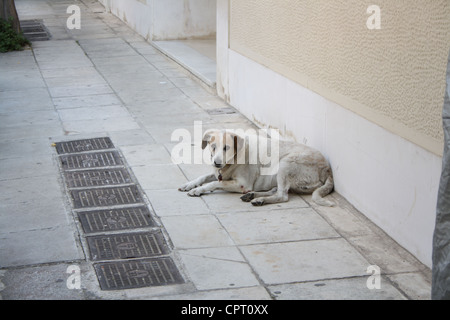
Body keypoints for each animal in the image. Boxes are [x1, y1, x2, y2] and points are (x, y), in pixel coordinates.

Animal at [179, 130, 334, 208]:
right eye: (213, 146)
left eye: (226, 147)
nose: (216, 163)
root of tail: (327, 168)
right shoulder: (220, 173)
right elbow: (204, 177)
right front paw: (189, 184)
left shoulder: (242, 184)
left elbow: (213, 183)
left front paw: (198, 190)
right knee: (276, 190)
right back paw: (253, 196)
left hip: (285, 164)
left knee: (282, 195)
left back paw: (260, 199)